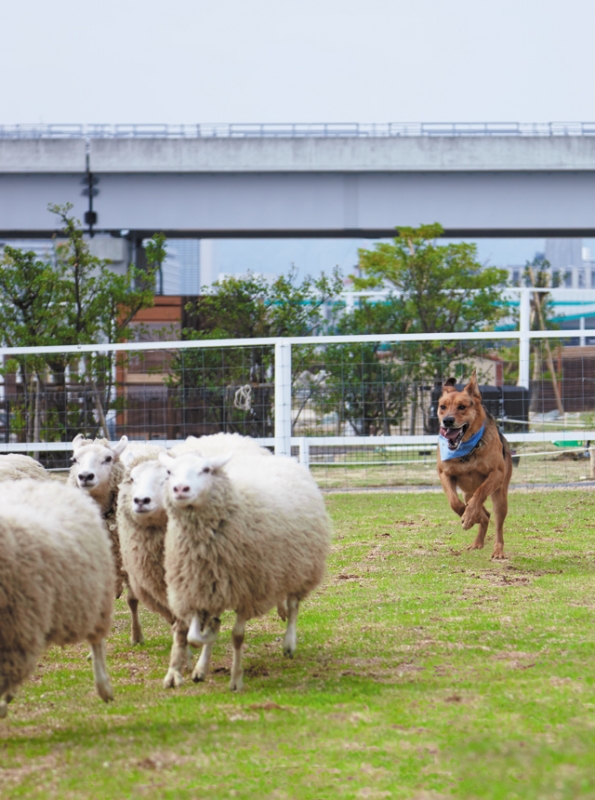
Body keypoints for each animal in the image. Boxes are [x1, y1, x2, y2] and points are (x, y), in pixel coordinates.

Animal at [158, 446, 332, 692]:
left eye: (206, 469)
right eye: (169, 472)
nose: (180, 489)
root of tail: (282, 459)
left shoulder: (248, 592)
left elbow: (237, 636)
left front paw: (236, 680)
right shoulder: (196, 589)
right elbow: (194, 636)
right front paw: (206, 647)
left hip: (300, 567)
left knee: (293, 606)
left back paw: (289, 643)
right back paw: (202, 664)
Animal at [436, 368, 516, 556]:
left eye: (462, 407)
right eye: (443, 407)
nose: (447, 421)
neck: (467, 448)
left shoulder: (496, 474)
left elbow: (481, 492)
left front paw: (470, 516)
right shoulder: (444, 474)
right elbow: (454, 502)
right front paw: (469, 516)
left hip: (500, 496)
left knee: (497, 523)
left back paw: (498, 551)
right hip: (467, 492)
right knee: (484, 514)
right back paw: (477, 540)